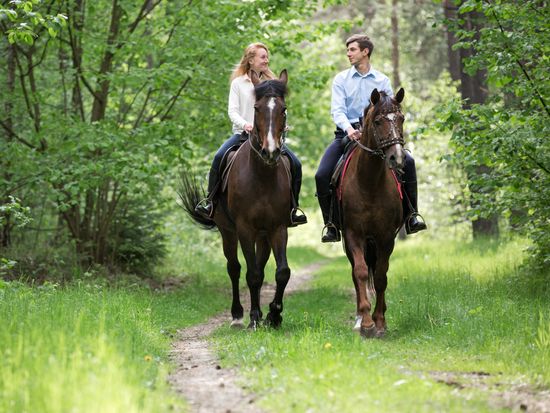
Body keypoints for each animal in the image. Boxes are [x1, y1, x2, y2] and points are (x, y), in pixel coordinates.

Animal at [180, 70, 294, 328]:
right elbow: (251, 274)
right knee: (234, 268)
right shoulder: (244, 228)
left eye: (283, 109)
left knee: (260, 265)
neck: (262, 177)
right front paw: (254, 318)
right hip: (228, 231)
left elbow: (281, 272)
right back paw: (238, 315)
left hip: (263, 235)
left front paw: (274, 314)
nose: (270, 152)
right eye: (257, 108)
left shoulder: (278, 227)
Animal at [342, 87, 408, 338]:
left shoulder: (386, 237)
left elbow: (380, 276)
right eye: (378, 121)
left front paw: (380, 322)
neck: (369, 182)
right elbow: (361, 272)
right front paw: (367, 323)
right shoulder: (353, 234)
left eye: (401, 118)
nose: (397, 158)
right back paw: (360, 319)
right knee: (355, 272)